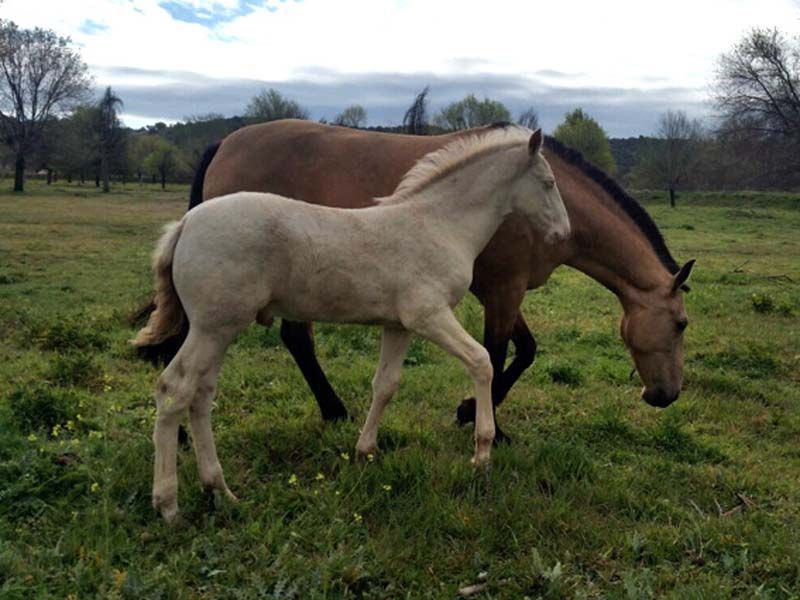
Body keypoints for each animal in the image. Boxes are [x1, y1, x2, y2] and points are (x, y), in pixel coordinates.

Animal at [134, 126, 568, 520]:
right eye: (548, 183)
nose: (563, 233)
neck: (438, 224)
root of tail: (184, 225)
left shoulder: (399, 325)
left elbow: (385, 385)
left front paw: (365, 451)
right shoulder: (428, 315)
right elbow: (482, 361)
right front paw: (482, 452)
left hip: (220, 331)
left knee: (201, 394)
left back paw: (220, 490)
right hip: (212, 328)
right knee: (175, 389)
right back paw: (168, 505)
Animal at [138, 119, 692, 442]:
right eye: (682, 324)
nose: (666, 395)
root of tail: (225, 141)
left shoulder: (498, 292)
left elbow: (524, 350)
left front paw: (472, 413)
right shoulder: (502, 290)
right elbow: (499, 354)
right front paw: (483, 421)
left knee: (286, 341)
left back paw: (332, 412)